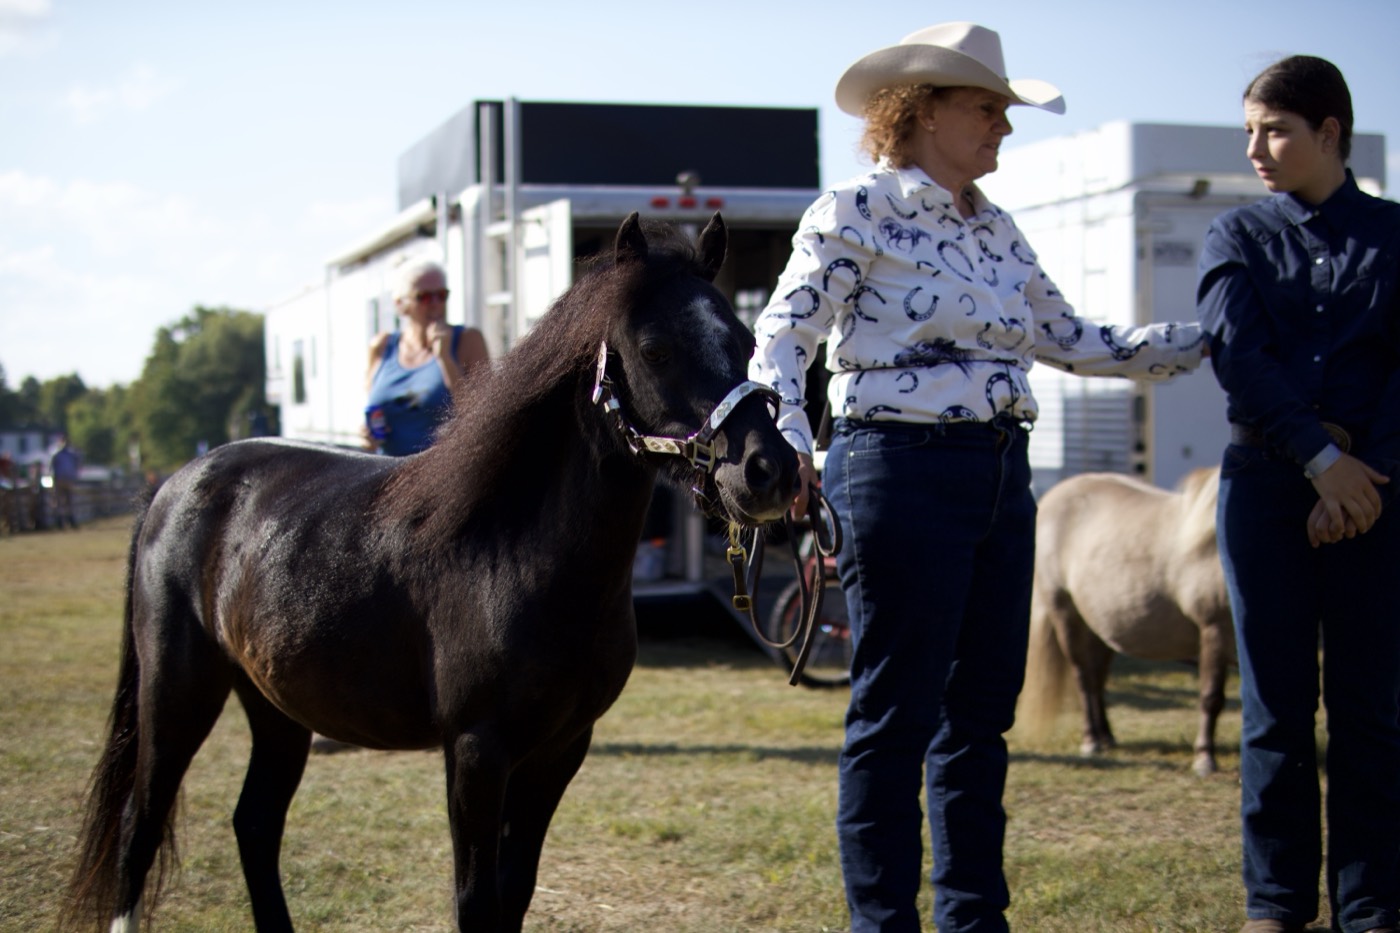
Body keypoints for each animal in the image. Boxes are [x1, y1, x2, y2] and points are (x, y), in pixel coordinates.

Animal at [63, 213, 799, 932]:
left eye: (743, 340)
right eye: (654, 348)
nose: (769, 470)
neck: (514, 552)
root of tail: (172, 486)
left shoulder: (559, 749)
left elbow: (514, 893)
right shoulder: (477, 750)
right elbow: (475, 901)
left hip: (275, 706)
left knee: (255, 824)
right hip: (177, 692)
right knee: (139, 827)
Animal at [1018, 467, 1236, 776]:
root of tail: (1053, 497)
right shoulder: (1214, 631)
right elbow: (1211, 697)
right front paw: (1205, 758)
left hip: (1100, 627)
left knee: (1097, 678)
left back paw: (1106, 735)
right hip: (1065, 613)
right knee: (1083, 676)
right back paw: (1091, 739)